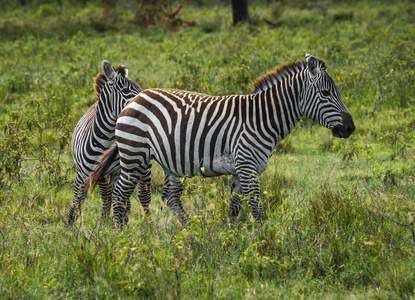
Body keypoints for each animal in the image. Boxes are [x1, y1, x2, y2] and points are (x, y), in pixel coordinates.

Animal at [67, 60, 145, 225]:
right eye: (125, 90)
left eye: (140, 89)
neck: (104, 143)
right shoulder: (82, 174)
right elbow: (75, 204)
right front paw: (69, 228)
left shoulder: (118, 172)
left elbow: (120, 203)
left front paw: (119, 226)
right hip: (101, 176)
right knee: (106, 196)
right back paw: (102, 221)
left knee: (115, 198)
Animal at [87, 54, 354, 227]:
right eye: (326, 93)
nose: (350, 128)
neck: (261, 119)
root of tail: (135, 99)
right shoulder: (247, 166)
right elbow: (257, 208)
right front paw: (266, 243)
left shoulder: (241, 170)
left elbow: (235, 208)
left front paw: (232, 237)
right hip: (134, 155)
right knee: (120, 194)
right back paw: (122, 235)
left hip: (167, 160)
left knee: (170, 197)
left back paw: (190, 231)